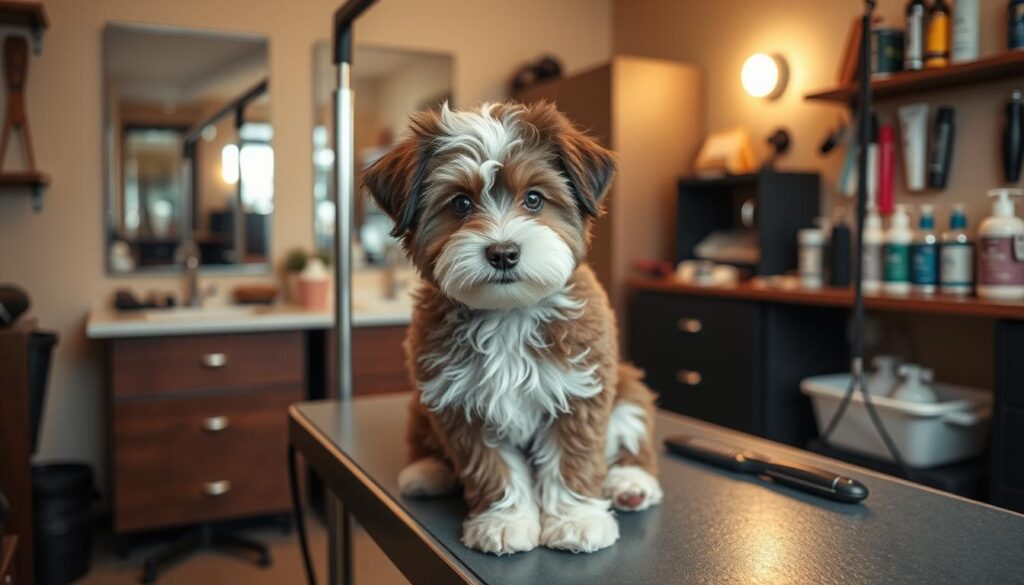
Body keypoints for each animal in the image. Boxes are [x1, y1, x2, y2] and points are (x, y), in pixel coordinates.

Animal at [364, 102, 659, 557]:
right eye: (461, 204)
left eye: (534, 198)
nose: (503, 252)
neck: (508, 314)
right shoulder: (458, 399)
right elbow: (491, 465)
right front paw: (505, 521)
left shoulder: (580, 386)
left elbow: (574, 453)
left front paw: (576, 519)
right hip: (421, 401)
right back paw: (428, 471)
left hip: (625, 383)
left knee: (632, 419)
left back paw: (630, 482)